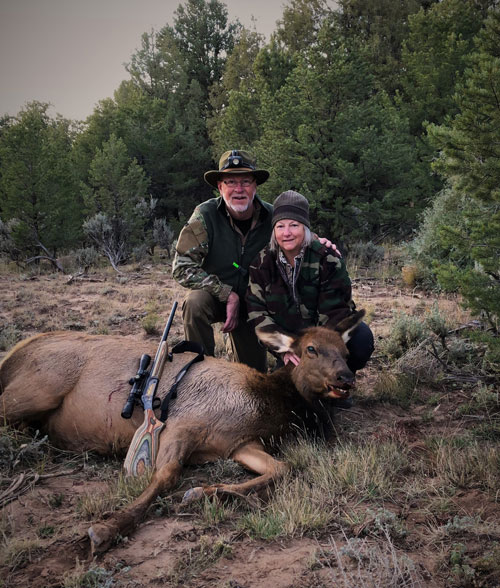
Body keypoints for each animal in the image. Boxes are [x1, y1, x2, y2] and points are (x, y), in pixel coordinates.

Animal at [0, 310, 364, 552]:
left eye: (346, 352)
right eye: (311, 349)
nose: (345, 378)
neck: (265, 404)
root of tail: (12, 356)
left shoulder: (240, 443)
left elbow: (281, 469)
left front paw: (206, 491)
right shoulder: (183, 423)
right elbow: (166, 476)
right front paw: (108, 528)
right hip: (37, 390)